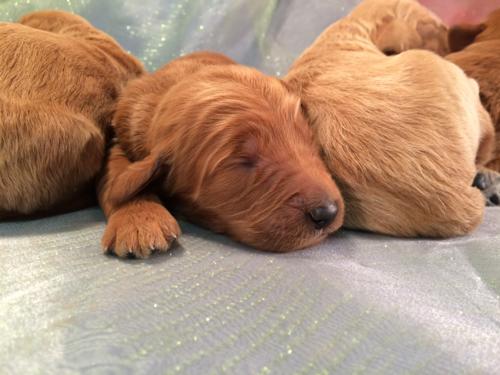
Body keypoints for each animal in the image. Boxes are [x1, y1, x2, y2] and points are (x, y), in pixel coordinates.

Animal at [99, 52, 346, 258]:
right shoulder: (118, 138)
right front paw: (138, 220)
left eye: (309, 139)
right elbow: (118, 177)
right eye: (243, 161)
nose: (328, 212)